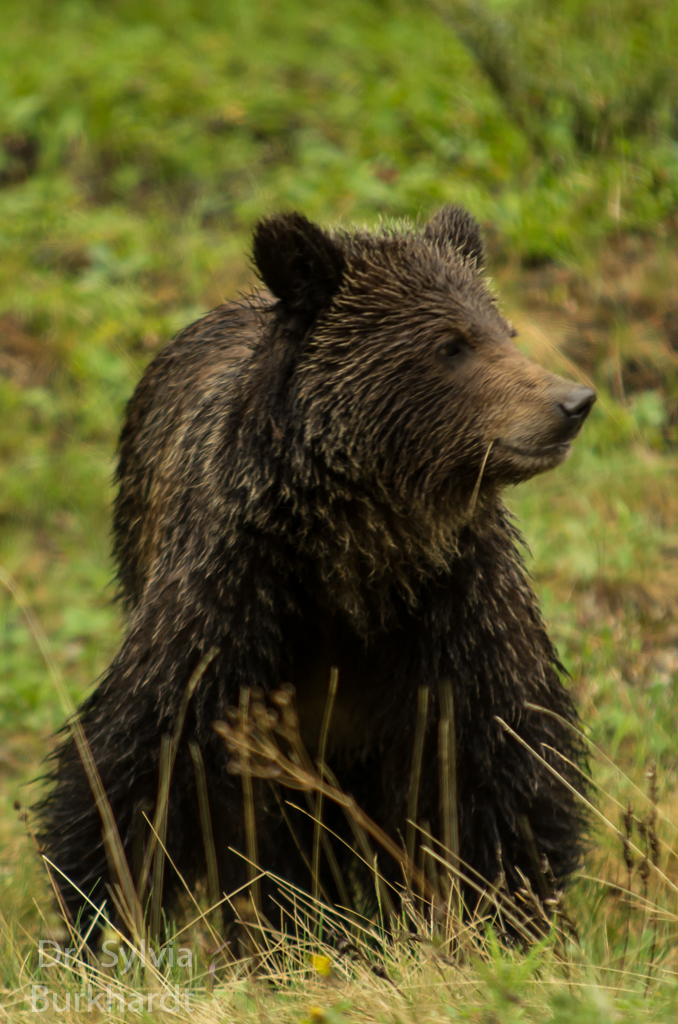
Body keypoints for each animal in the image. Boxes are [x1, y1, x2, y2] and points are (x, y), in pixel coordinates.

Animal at [39, 205, 598, 929]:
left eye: (505, 332)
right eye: (451, 345)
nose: (571, 403)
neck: (357, 553)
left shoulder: (454, 605)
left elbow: (501, 762)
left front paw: (505, 905)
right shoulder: (231, 596)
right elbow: (138, 762)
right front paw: (103, 914)